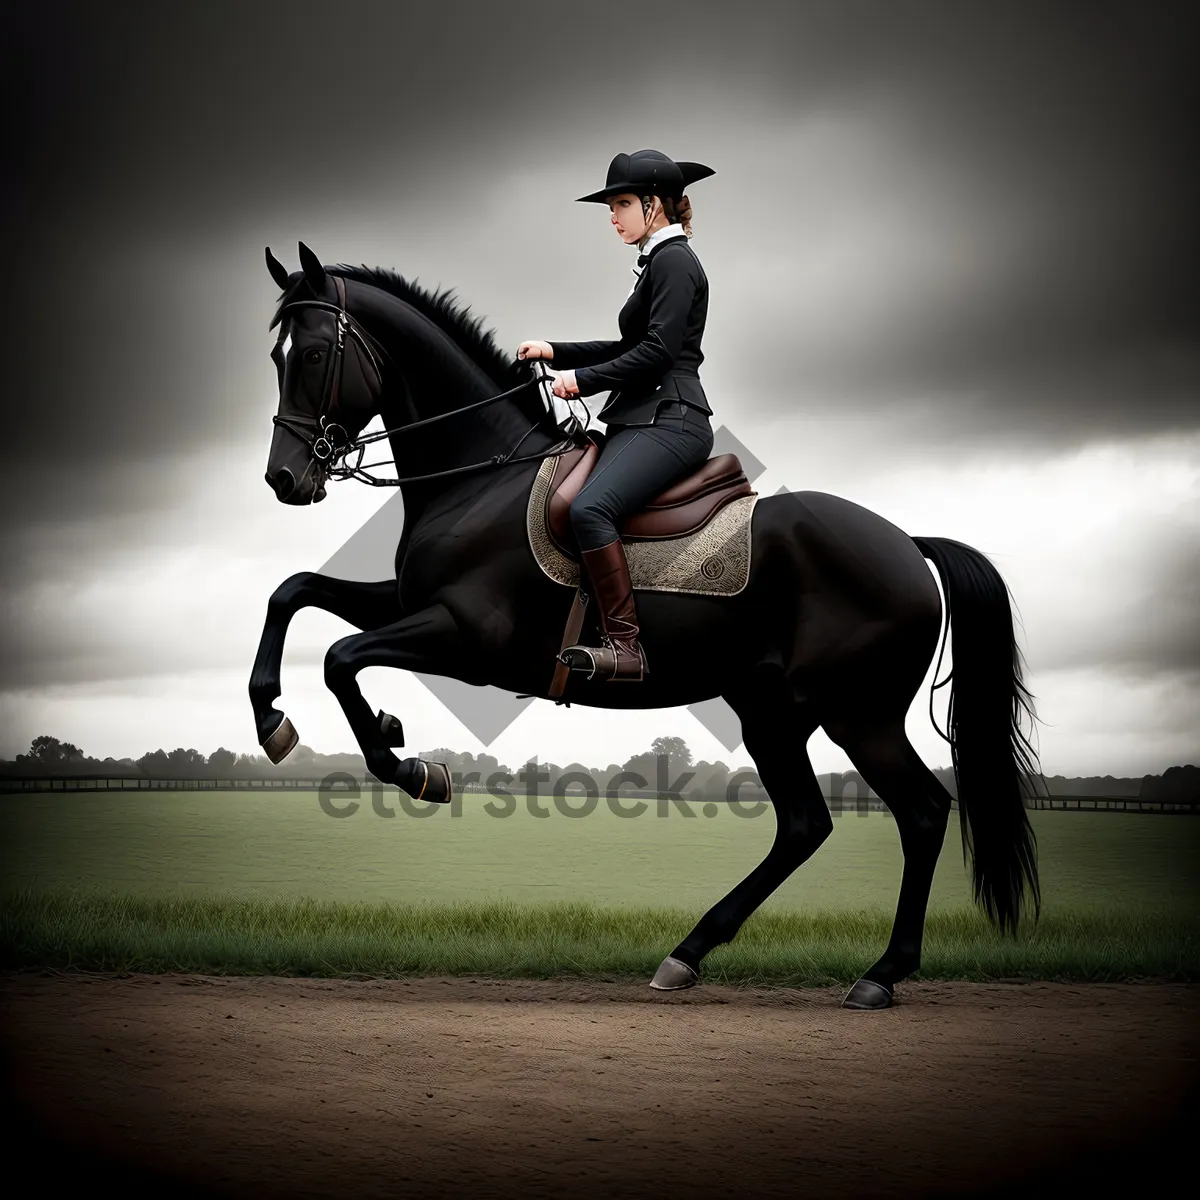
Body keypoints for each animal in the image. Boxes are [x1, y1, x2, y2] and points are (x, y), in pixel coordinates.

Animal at [250, 241, 1041, 1003]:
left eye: (313, 355)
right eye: (277, 357)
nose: (285, 480)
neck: (481, 476)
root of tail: (907, 544)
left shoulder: (468, 636)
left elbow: (341, 656)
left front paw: (413, 768)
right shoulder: (410, 601)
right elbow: (293, 594)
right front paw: (276, 723)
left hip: (859, 713)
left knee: (923, 813)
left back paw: (881, 974)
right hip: (772, 709)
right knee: (805, 824)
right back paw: (688, 954)